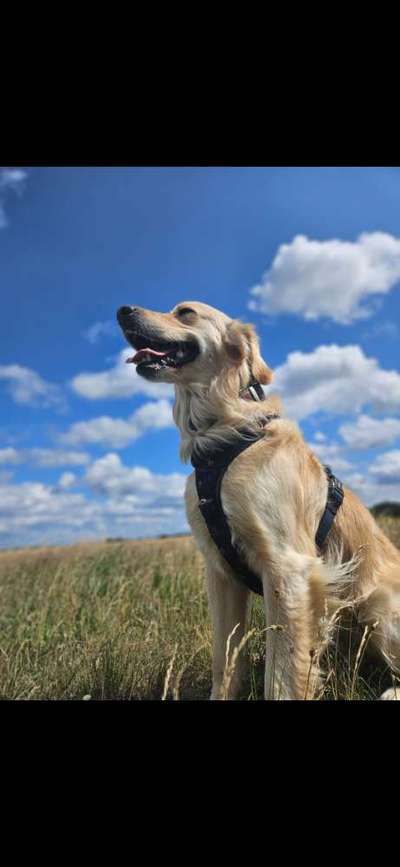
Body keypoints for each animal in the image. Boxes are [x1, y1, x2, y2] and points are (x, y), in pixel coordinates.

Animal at [116, 302, 400, 700]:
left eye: (185, 312)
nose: (123, 310)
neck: (220, 432)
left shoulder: (287, 567)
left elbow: (281, 672)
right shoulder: (220, 573)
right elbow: (225, 660)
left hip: (379, 605)